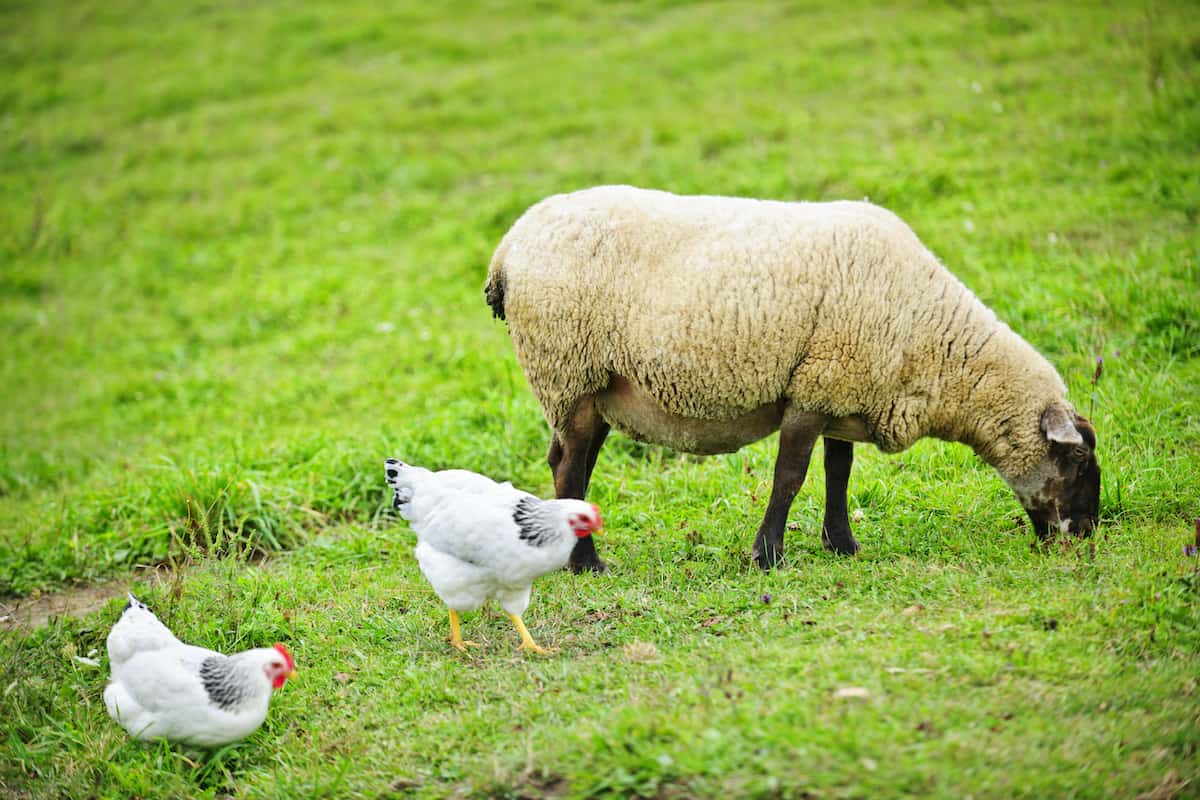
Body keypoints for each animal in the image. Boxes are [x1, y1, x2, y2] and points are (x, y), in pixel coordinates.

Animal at [485, 185, 1101, 571]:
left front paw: (842, 544)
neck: (931, 343)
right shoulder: (812, 391)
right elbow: (791, 477)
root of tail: (508, 248)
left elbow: (838, 473)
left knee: (569, 461)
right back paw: (587, 566)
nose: (1090, 532)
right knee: (569, 467)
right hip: (566, 368)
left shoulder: (841, 389)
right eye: (1075, 459)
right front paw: (769, 557)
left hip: (592, 386)